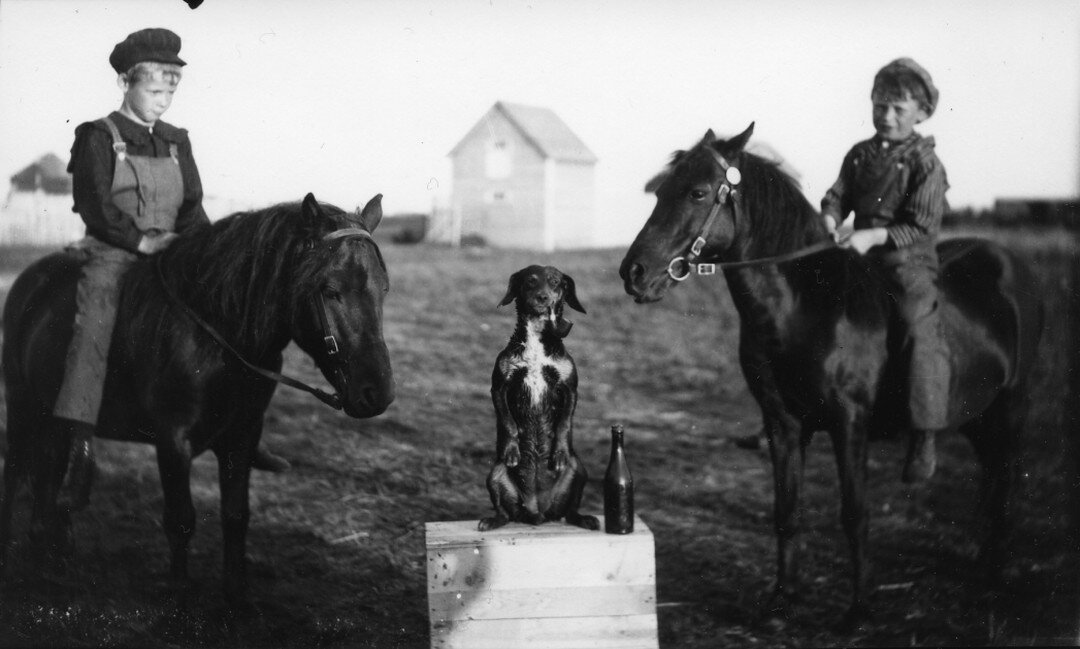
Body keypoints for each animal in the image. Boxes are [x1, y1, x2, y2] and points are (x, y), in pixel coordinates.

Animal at [0, 192, 397, 609]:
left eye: (383, 289)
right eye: (330, 289)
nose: (378, 392)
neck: (215, 333)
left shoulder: (241, 438)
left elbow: (236, 516)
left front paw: (236, 595)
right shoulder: (173, 441)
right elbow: (181, 519)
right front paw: (179, 591)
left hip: (50, 416)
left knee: (48, 474)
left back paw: (51, 555)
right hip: (22, 404)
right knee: (15, 473)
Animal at [481, 264, 600, 531]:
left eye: (556, 281)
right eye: (530, 281)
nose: (543, 298)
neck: (537, 338)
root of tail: (539, 511)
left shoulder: (570, 387)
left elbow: (564, 424)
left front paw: (559, 453)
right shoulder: (499, 387)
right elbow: (509, 423)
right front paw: (512, 450)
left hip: (580, 471)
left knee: (571, 510)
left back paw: (585, 518)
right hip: (493, 474)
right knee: (504, 512)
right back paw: (492, 521)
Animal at [622, 124, 1041, 626]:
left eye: (698, 192)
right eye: (660, 191)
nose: (633, 272)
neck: (808, 306)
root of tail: (1009, 263)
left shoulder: (849, 423)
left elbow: (854, 513)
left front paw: (859, 609)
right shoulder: (783, 425)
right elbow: (787, 511)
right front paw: (781, 599)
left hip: (1012, 406)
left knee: (1007, 480)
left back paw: (997, 570)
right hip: (978, 416)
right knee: (992, 479)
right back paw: (986, 559)